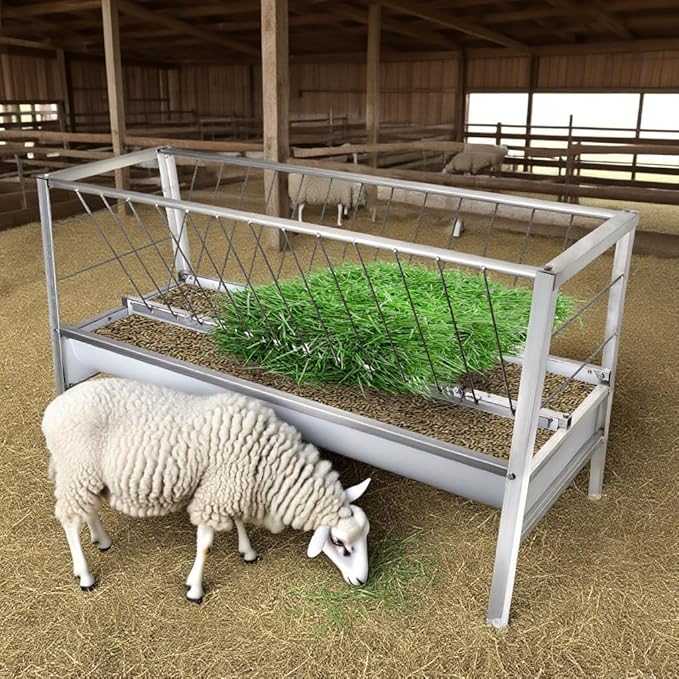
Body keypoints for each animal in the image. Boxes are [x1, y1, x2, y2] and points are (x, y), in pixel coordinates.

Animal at [42, 378, 372, 603]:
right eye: (340, 544)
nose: (361, 581)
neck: (270, 466)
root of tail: (52, 411)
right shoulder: (217, 494)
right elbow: (205, 546)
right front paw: (195, 589)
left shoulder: (228, 486)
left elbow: (238, 521)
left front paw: (248, 552)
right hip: (77, 470)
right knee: (70, 521)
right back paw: (85, 575)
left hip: (86, 475)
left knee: (88, 509)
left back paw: (102, 540)